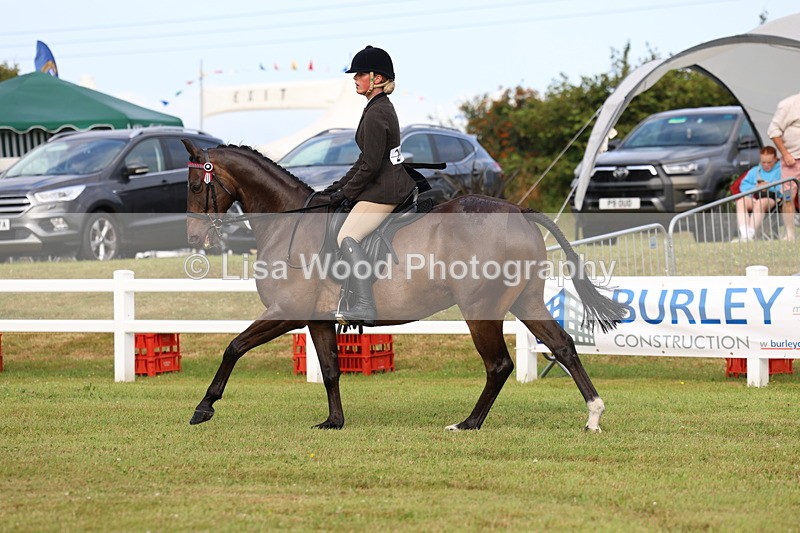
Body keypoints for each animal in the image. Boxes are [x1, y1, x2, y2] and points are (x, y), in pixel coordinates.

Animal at [181, 139, 626, 432]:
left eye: (193, 186)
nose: (194, 237)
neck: (288, 222)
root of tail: (518, 211)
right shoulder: (317, 318)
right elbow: (330, 369)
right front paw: (334, 421)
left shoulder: (285, 313)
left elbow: (233, 347)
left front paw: (204, 407)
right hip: (527, 301)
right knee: (563, 346)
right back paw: (594, 414)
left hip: (481, 309)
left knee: (499, 364)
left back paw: (469, 423)